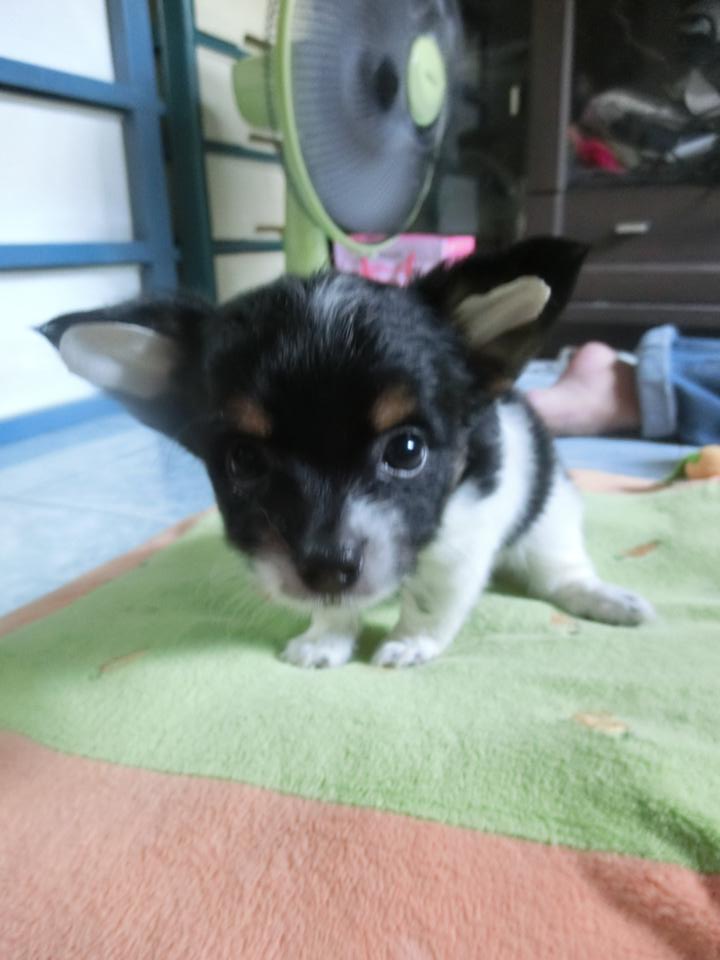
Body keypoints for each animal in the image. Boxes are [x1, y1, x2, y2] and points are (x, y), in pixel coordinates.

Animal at [40, 237, 655, 668]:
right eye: (243, 461)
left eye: (407, 450)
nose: (328, 567)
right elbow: (332, 608)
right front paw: (325, 641)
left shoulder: (465, 532)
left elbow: (432, 595)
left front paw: (410, 644)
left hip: (551, 520)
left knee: (559, 573)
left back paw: (604, 598)